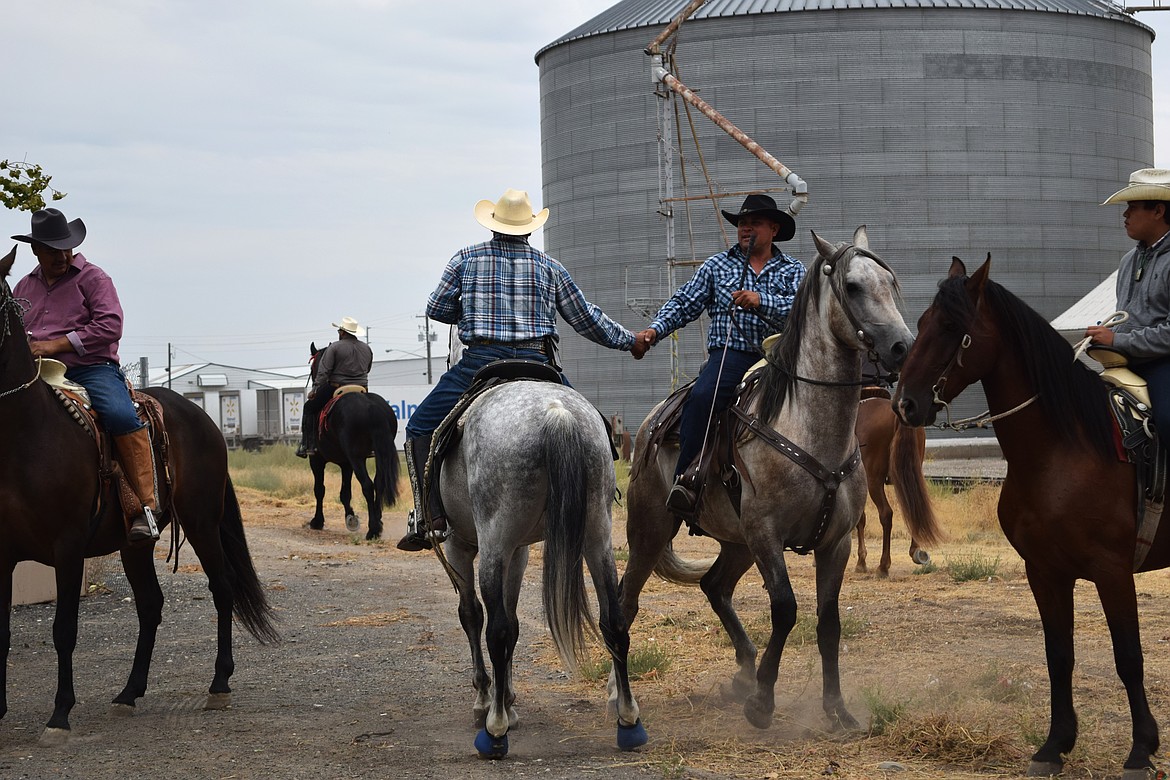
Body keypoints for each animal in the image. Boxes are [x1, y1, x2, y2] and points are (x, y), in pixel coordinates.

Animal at [0, 245, 277, 743]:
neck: (25, 435)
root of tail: (202, 419)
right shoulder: (1, 553)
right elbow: (3, 635)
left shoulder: (68, 548)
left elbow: (64, 629)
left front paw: (59, 715)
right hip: (135, 543)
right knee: (150, 605)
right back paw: (129, 693)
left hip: (202, 522)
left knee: (222, 586)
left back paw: (219, 684)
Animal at [304, 343, 400, 540]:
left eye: (313, 366)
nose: (313, 391)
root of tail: (371, 406)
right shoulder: (345, 463)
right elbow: (345, 493)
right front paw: (351, 519)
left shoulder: (317, 460)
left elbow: (320, 489)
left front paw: (317, 521)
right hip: (378, 455)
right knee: (378, 483)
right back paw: (378, 522)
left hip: (356, 458)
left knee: (367, 485)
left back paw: (373, 530)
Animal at [851, 392, 931, 577]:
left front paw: (861, 561)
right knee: (914, 507)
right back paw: (916, 551)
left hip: (874, 480)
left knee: (886, 514)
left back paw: (883, 566)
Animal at [893, 254, 1160, 776]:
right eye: (923, 322)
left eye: (953, 327)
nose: (905, 403)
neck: (1065, 449)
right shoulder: (1044, 571)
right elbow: (1059, 656)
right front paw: (1055, 745)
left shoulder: (1113, 571)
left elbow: (1128, 657)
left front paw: (1141, 748)